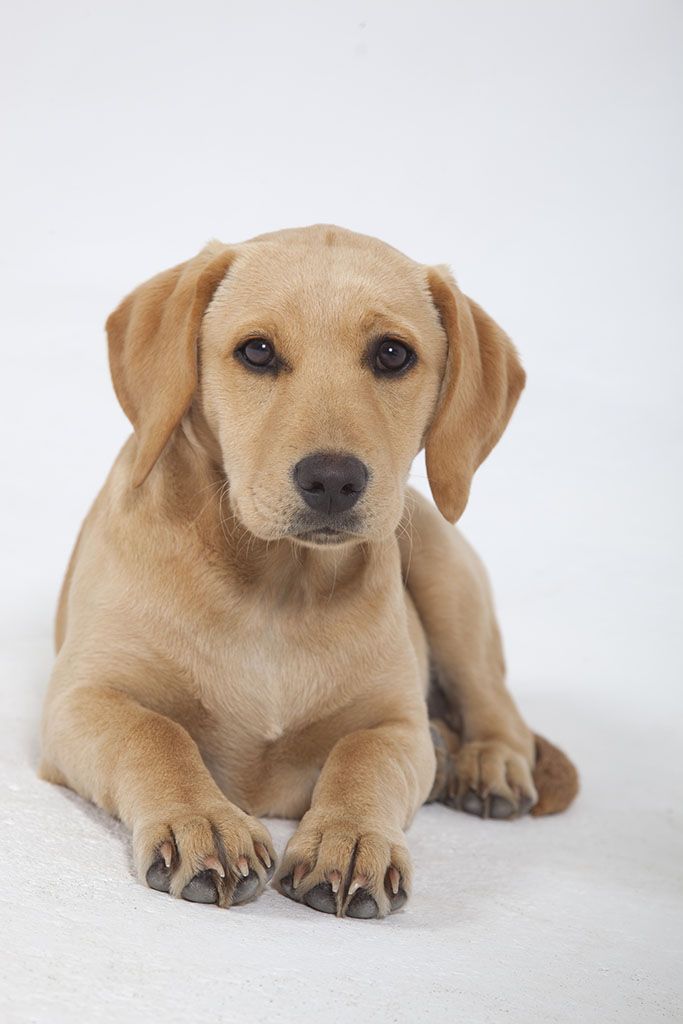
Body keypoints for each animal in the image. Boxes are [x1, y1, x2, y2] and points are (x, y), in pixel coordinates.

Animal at [40, 224, 581, 921]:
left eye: (392, 355)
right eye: (258, 351)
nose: (332, 479)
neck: (277, 587)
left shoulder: (395, 723)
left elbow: (362, 755)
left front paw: (348, 837)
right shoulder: (79, 701)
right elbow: (155, 733)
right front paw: (203, 820)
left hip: (445, 568)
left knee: (495, 700)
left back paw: (489, 762)